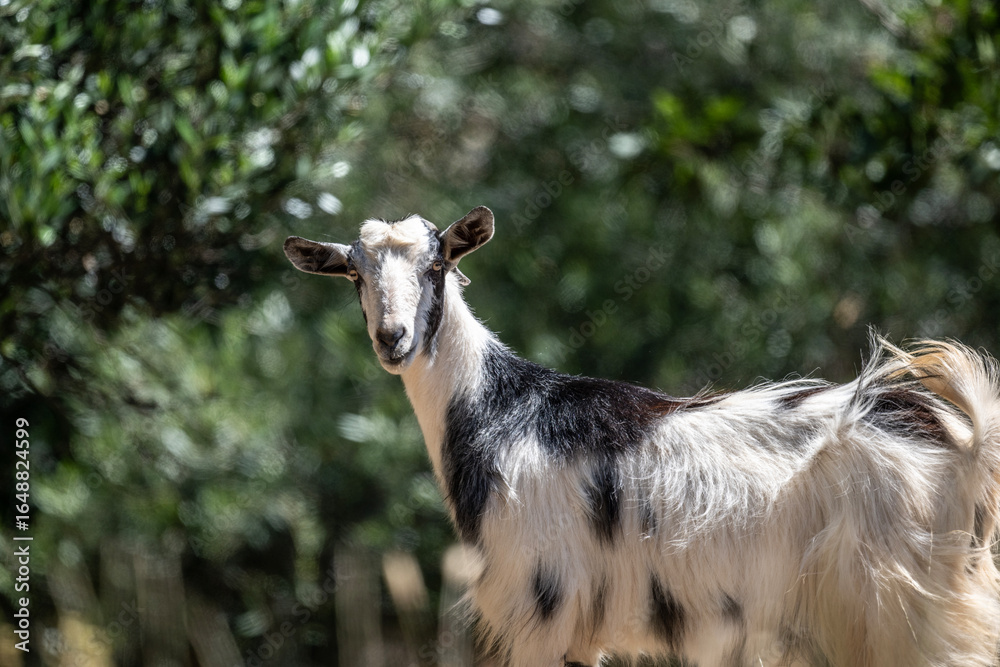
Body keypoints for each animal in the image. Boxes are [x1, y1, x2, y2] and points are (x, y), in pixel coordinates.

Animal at [284, 206, 1000, 667]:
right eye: (354, 274)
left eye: (437, 266)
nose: (393, 339)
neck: (504, 412)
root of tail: (963, 444)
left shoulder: (544, 608)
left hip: (904, 614)